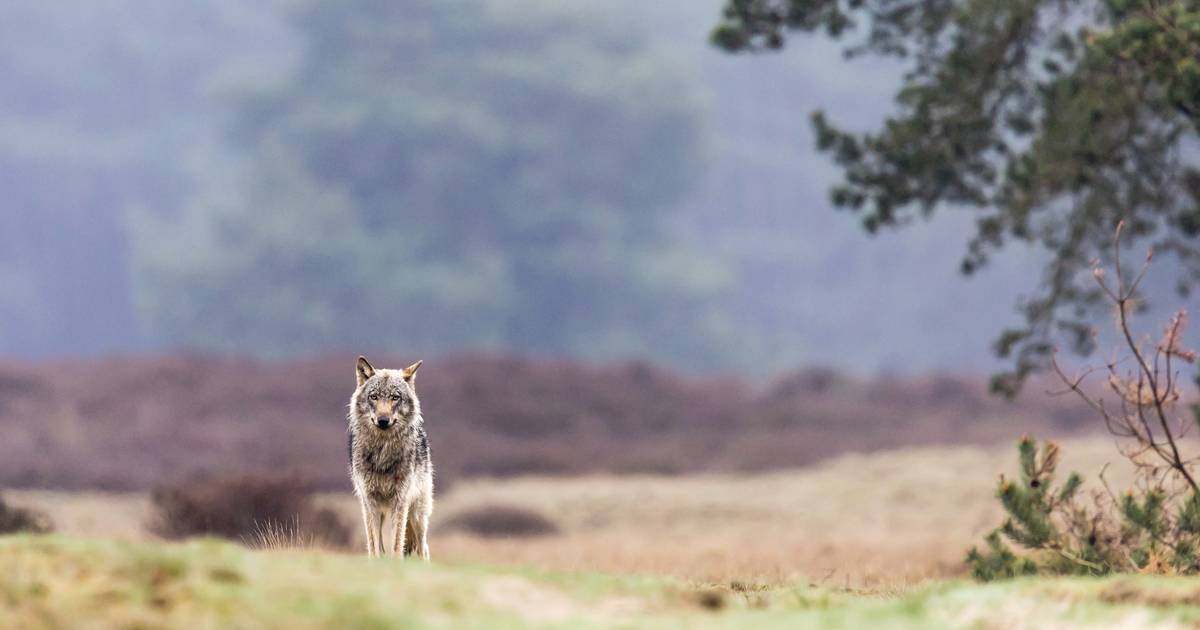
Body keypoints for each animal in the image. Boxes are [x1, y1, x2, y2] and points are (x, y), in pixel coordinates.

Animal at [347, 356, 433, 559]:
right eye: (374, 396)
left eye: (395, 397)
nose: (383, 420)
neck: (382, 452)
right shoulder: (369, 502)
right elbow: (374, 546)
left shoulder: (400, 501)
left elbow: (396, 543)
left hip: (417, 515)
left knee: (423, 548)